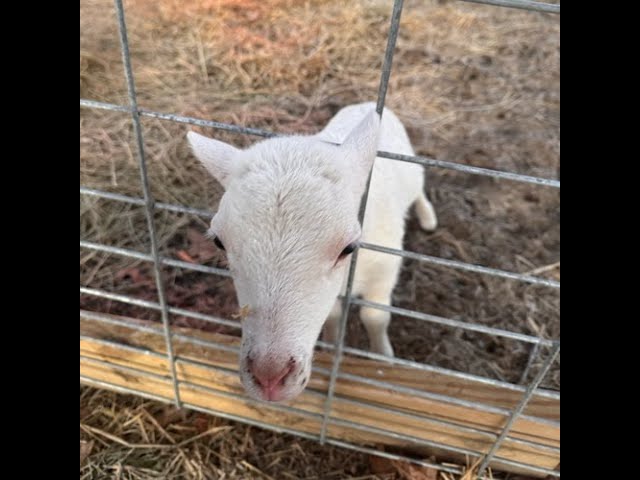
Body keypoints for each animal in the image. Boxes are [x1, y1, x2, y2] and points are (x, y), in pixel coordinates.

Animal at [185, 103, 436, 404]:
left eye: (348, 247)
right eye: (219, 242)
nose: (269, 378)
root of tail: (364, 104)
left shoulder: (385, 269)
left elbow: (374, 317)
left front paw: (382, 358)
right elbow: (334, 314)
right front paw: (330, 344)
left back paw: (427, 216)